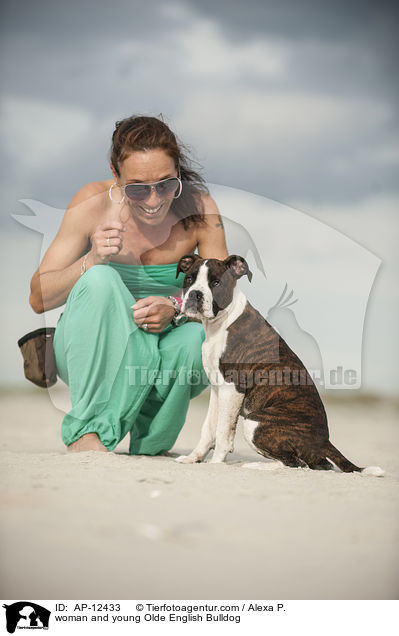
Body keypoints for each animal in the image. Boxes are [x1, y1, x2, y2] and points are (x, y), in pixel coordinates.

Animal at [175, 252, 384, 472]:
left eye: (216, 283)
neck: (222, 322)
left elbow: (223, 431)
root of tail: (324, 441)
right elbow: (208, 428)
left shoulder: (231, 388)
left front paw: (216, 463)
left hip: (255, 422)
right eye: (189, 279)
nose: (195, 294)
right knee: (314, 464)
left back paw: (257, 466)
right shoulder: (217, 389)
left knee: (294, 463)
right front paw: (193, 458)